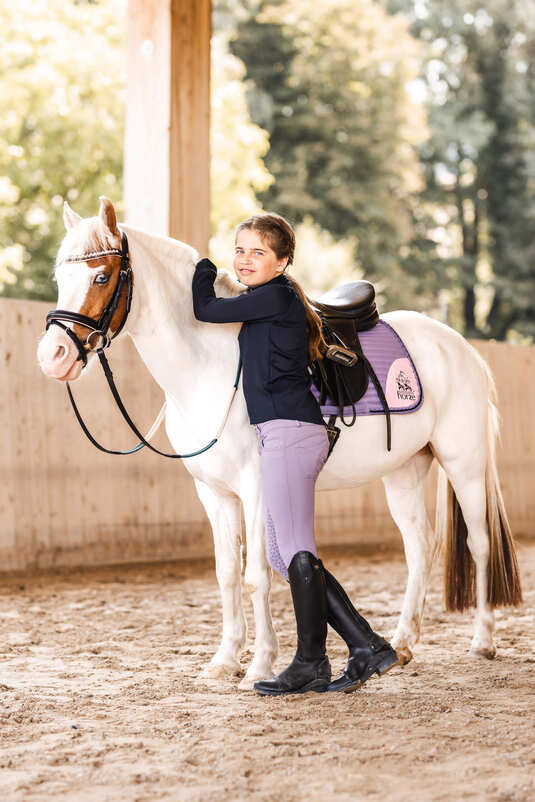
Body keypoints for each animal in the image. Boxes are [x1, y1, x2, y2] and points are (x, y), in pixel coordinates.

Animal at [37, 197, 522, 689]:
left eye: (101, 277)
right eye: (60, 279)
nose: (52, 356)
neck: (209, 365)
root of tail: (462, 349)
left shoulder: (256, 487)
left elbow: (257, 575)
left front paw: (259, 665)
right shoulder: (213, 492)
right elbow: (227, 573)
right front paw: (224, 660)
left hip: (463, 465)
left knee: (480, 544)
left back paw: (482, 640)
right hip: (403, 471)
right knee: (420, 546)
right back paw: (401, 645)